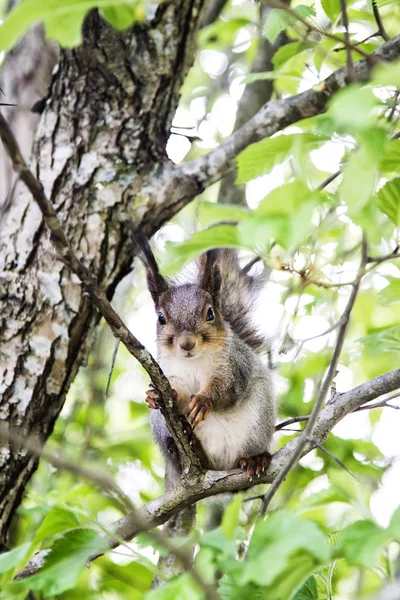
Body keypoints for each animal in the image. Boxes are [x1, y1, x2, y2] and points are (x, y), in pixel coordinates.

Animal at [126, 223, 276, 490]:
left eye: (210, 313)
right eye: (161, 318)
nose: (187, 344)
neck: (193, 361)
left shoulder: (234, 365)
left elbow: (226, 388)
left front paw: (204, 401)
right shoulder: (170, 372)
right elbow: (175, 392)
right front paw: (159, 396)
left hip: (258, 421)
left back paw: (255, 459)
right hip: (161, 428)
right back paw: (187, 444)